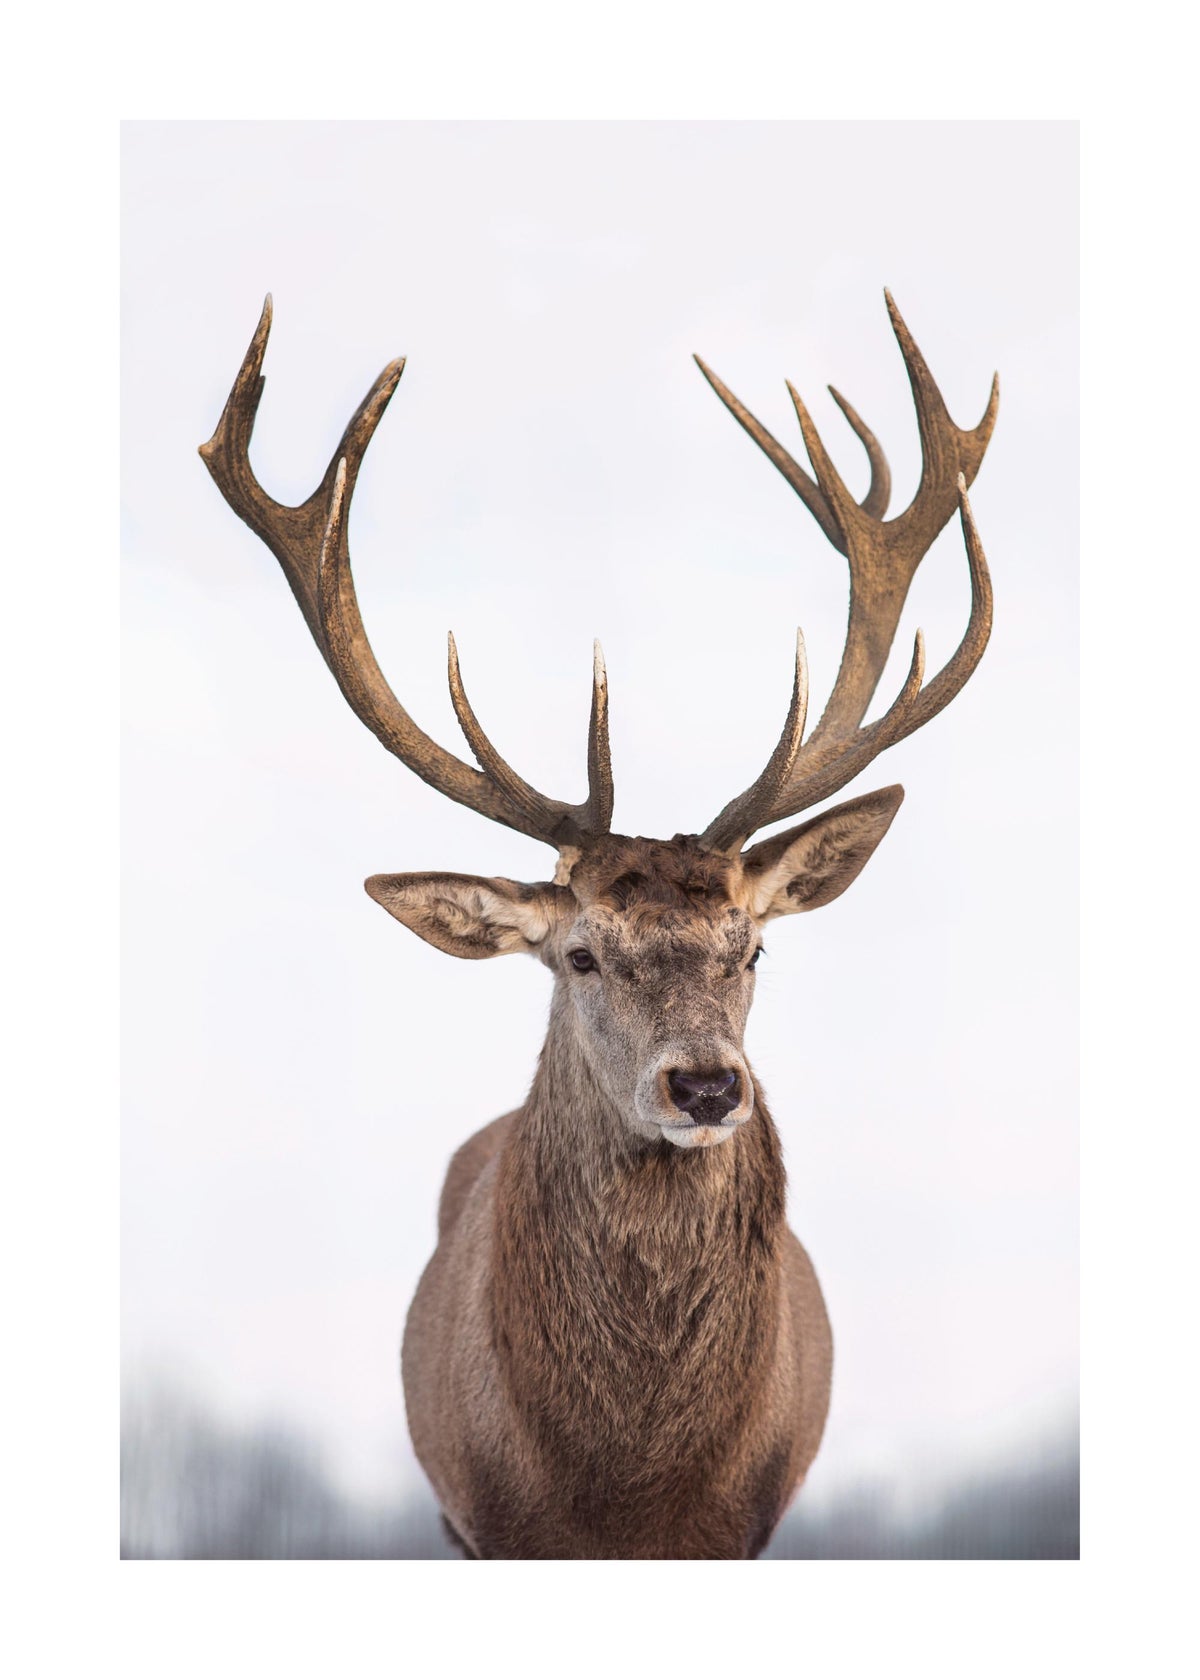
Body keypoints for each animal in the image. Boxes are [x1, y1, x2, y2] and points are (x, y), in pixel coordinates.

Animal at [199, 292, 997, 1559]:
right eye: (578, 954)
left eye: (753, 948)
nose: (706, 1086)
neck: (626, 1489)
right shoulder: (489, 1517)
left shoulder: (746, 1523)